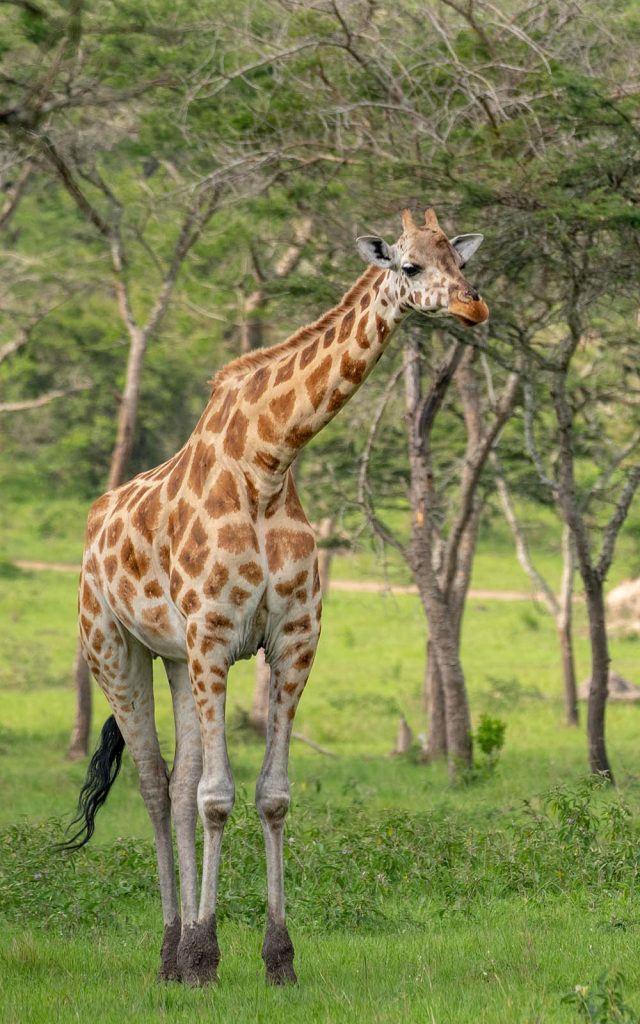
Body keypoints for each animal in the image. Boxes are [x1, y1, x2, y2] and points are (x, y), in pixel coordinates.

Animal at [65, 206, 489, 986]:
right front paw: (207, 957)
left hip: (175, 660)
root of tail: (94, 520)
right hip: (114, 649)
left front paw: (276, 958)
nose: (474, 307)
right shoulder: (213, 637)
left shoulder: (292, 640)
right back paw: (171, 952)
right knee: (154, 784)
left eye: (463, 260)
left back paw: (175, 948)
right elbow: (217, 798)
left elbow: (271, 796)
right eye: (411, 265)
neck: (267, 461)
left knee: (176, 784)